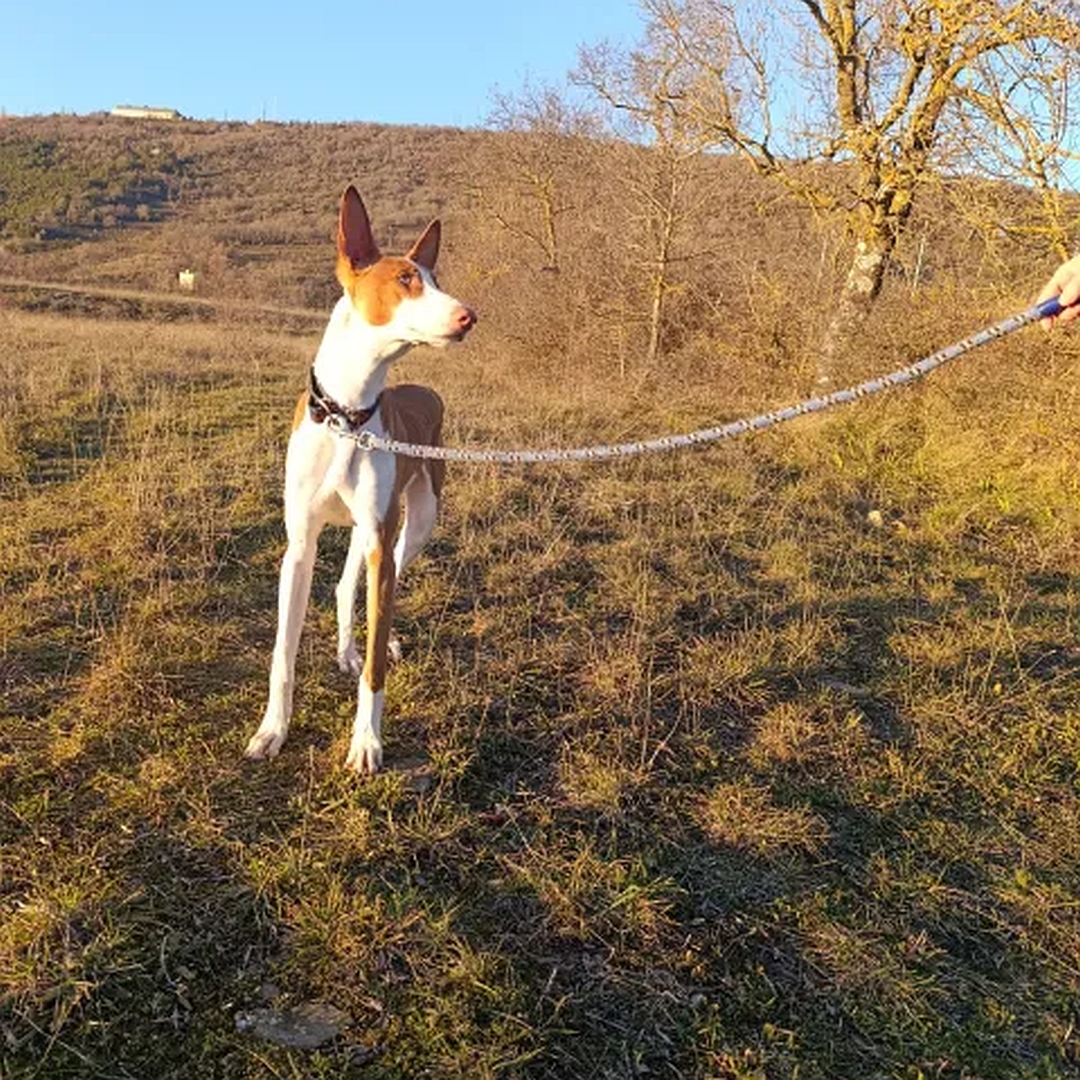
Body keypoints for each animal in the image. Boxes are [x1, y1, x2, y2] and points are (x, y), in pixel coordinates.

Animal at [250, 190, 479, 773]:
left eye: (435, 278)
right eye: (405, 279)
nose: (470, 316)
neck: (346, 415)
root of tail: (422, 390)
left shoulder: (379, 540)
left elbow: (376, 668)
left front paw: (367, 741)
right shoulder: (299, 547)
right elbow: (283, 653)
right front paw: (272, 730)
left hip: (413, 526)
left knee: (383, 576)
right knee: (344, 585)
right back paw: (346, 649)